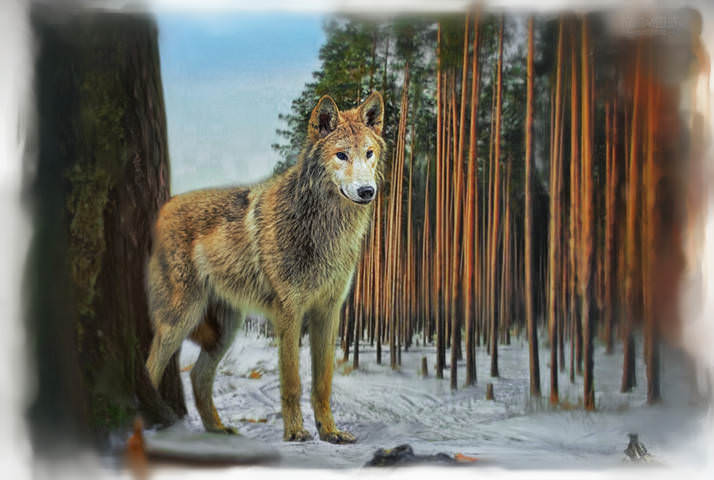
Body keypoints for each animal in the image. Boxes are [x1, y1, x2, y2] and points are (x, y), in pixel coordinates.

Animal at [145, 92, 385, 443]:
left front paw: (330, 432)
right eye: (341, 155)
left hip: (225, 331)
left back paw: (218, 430)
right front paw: (295, 432)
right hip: (179, 320)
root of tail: (165, 207)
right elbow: (293, 382)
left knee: (198, 377)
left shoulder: (328, 312)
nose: (367, 191)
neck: (325, 230)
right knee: (149, 368)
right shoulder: (289, 313)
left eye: (369, 153)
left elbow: (323, 383)